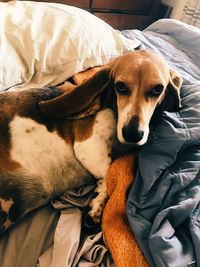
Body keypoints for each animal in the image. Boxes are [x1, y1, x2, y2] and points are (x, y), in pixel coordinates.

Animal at [0, 50, 182, 234]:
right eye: (120, 86)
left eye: (158, 89)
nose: (132, 134)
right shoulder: (87, 147)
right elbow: (109, 174)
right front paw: (97, 207)